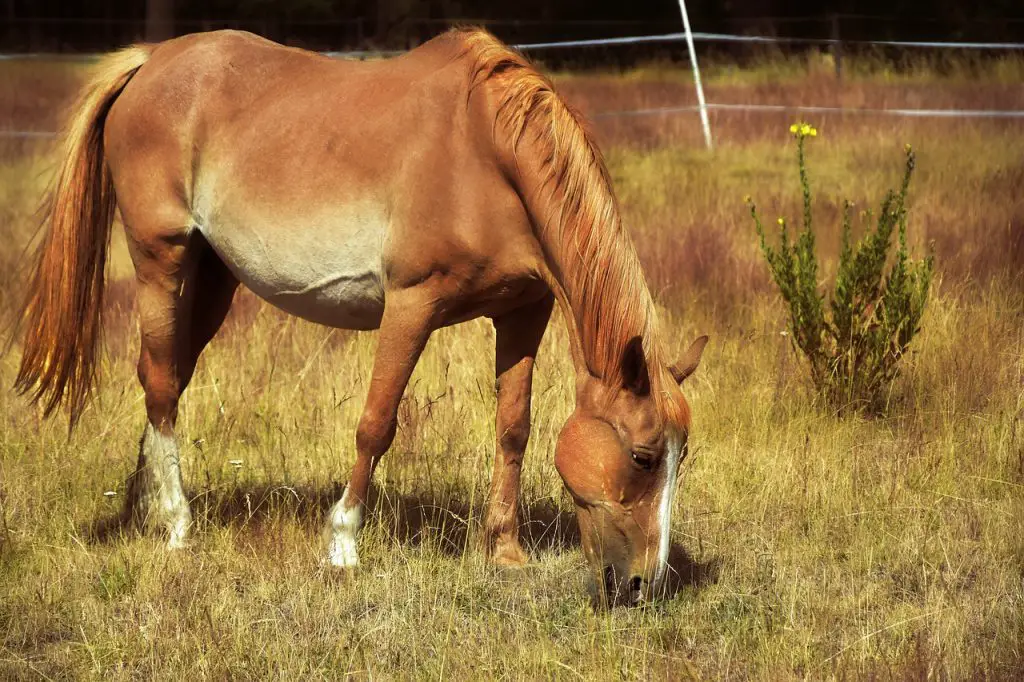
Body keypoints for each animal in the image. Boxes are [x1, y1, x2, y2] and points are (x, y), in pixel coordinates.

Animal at [16, 26, 704, 602]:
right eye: (644, 456)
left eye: (681, 456)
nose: (643, 585)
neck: (485, 153)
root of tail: (153, 59)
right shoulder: (411, 304)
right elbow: (376, 424)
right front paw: (343, 542)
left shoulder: (522, 313)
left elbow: (514, 427)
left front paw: (505, 551)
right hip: (162, 262)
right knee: (161, 383)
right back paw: (179, 525)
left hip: (210, 279)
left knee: (165, 377)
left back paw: (145, 506)